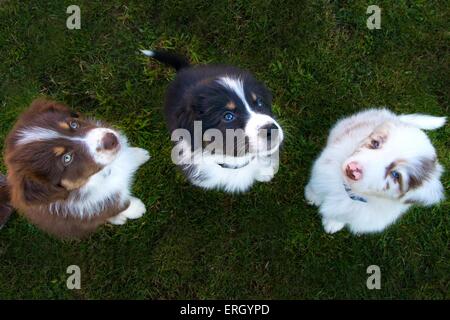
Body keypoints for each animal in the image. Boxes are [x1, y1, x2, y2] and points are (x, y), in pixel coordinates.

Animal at [0, 99, 150, 239]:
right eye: (67, 158)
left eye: (74, 124)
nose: (111, 139)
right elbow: (118, 206)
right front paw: (136, 209)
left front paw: (138, 155)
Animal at [304, 109, 444, 234]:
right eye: (375, 143)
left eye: (396, 175)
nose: (352, 169)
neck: (349, 191)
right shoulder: (322, 169)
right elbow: (316, 187)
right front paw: (312, 197)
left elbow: (341, 215)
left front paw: (333, 223)